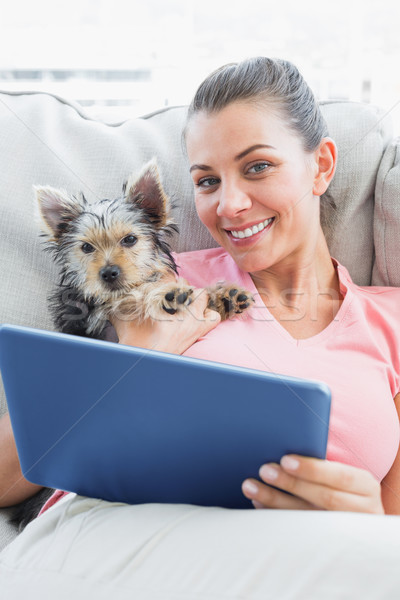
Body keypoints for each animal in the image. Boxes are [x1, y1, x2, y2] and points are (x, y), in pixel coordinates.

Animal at [11, 158, 253, 528]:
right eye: (86, 248)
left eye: (129, 240)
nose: (108, 273)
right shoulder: (92, 312)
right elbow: (132, 295)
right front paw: (165, 293)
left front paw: (222, 295)